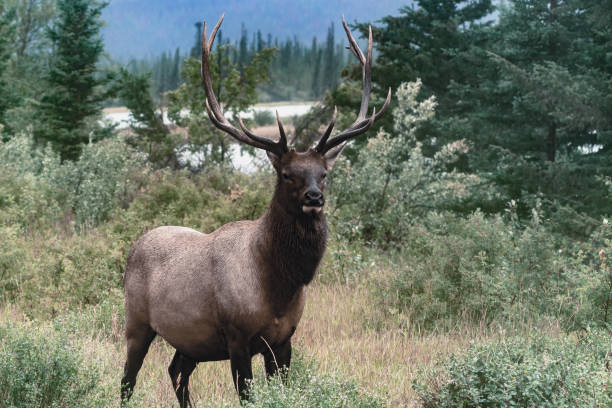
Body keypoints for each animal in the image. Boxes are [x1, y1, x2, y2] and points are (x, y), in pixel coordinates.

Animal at [121, 13, 390, 408]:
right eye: (287, 173)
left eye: (324, 174)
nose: (314, 197)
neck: (277, 287)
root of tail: (135, 246)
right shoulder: (237, 337)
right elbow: (246, 395)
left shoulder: (284, 340)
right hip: (136, 322)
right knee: (128, 380)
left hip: (191, 342)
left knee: (176, 372)